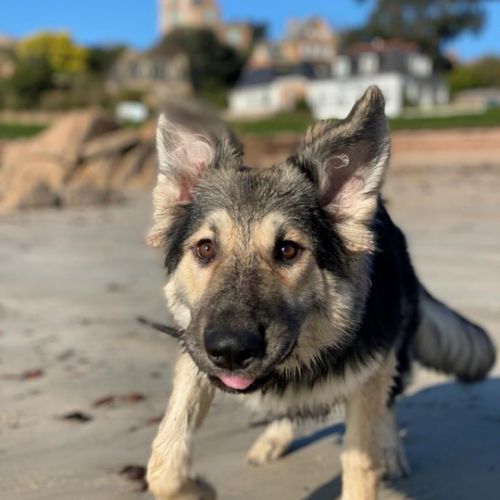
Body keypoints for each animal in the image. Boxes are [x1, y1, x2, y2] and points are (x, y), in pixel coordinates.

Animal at [144, 86, 496, 500]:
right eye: (205, 249)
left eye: (287, 250)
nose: (230, 351)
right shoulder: (195, 350)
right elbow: (163, 461)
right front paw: (197, 488)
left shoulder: (369, 374)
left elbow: (361, 462)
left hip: (394, 346)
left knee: (388, 403)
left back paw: (390, 448)